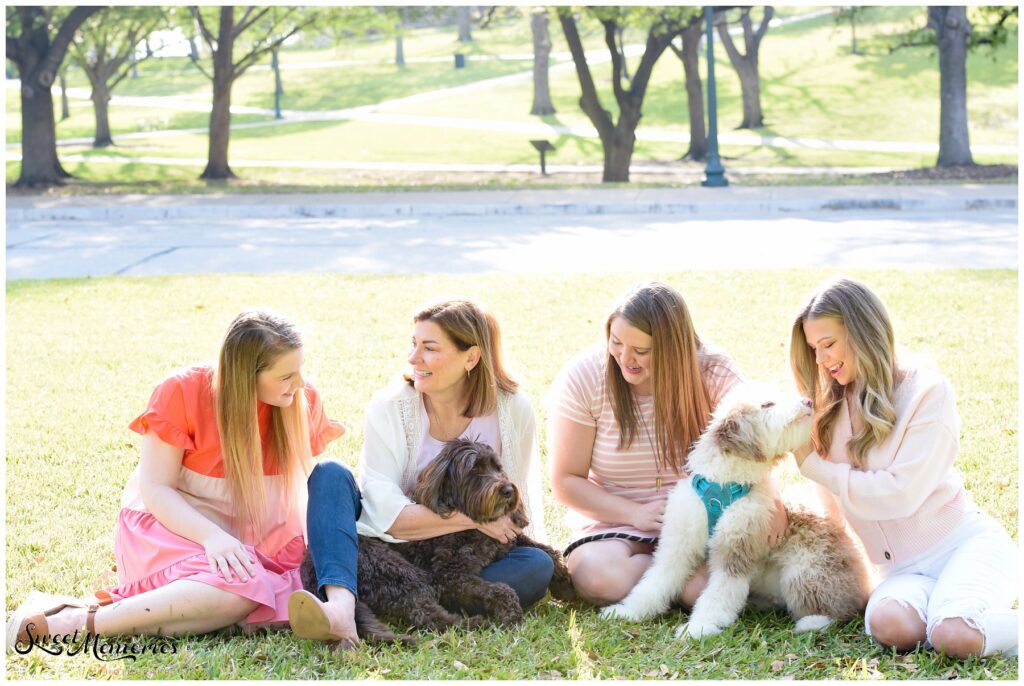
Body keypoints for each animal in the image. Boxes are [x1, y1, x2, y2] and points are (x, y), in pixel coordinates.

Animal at [299, 440, 577, 647]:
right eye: (474, 470)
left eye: (497, 467)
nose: (508, 490)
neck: (471, 521)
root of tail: (310, 569)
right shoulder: (449, 576)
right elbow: (501, 588)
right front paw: (511, 614)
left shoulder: (506, 539)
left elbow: (549, 552)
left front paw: (567, 587)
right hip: (400, 573)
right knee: (428, 617)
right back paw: (475, 624)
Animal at [602, 389, 868, 642]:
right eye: (767, 404)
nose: (809, 401)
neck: (724, 484)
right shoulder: (679, 543)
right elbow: (656, 580)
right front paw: (627, 612)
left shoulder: (737, 545)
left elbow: (719, 593)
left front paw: (697, 628)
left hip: (806, 572)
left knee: (840, 610)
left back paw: (811, 623)